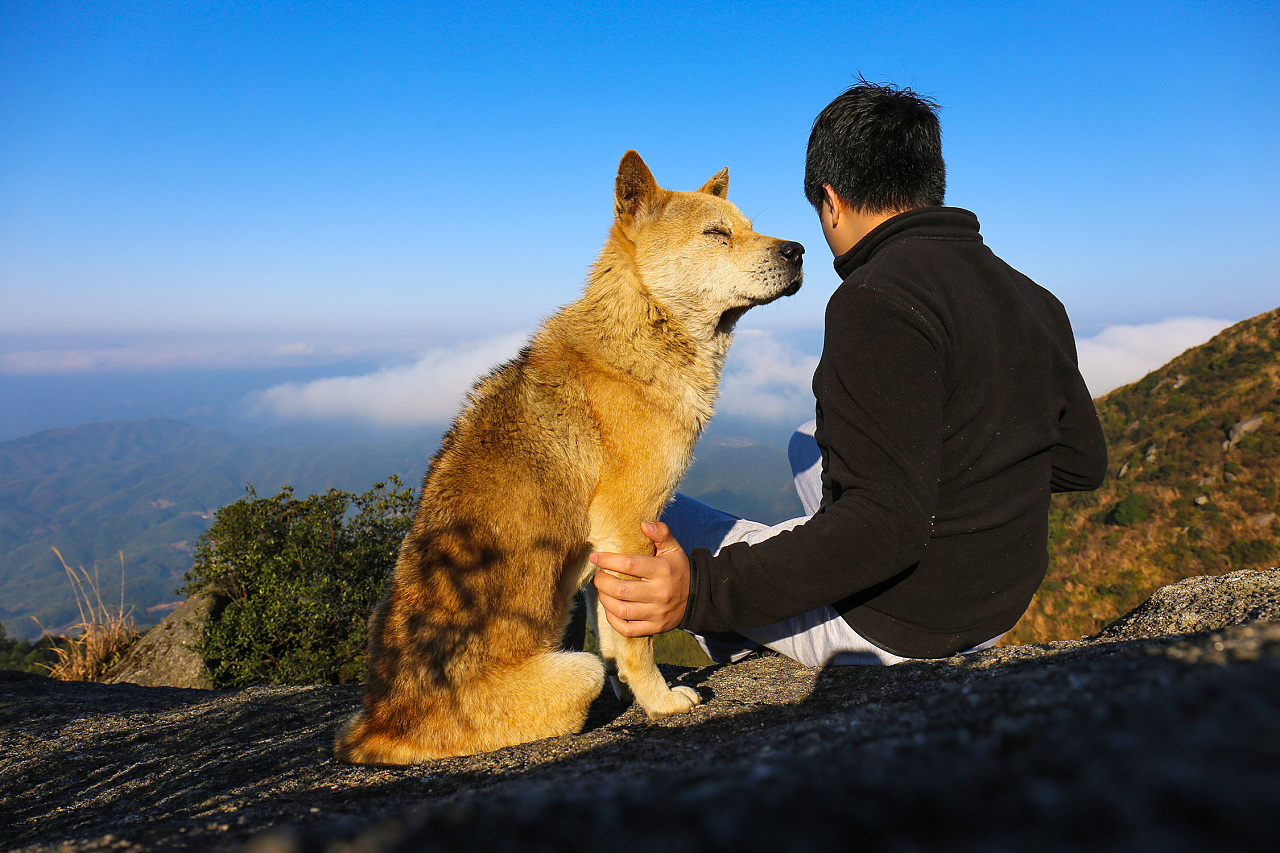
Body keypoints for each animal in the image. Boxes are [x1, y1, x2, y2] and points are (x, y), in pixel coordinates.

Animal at [335, 149, 803, 758]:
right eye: (716, 234)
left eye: (749, 226)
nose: (798, 250)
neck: (644, 330)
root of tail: (374, 726)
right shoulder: (627, 526)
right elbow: (635, 641)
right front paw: (660, 702)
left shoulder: (610, 549)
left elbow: (614, 635)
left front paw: (632, 692)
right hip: (573, 671)